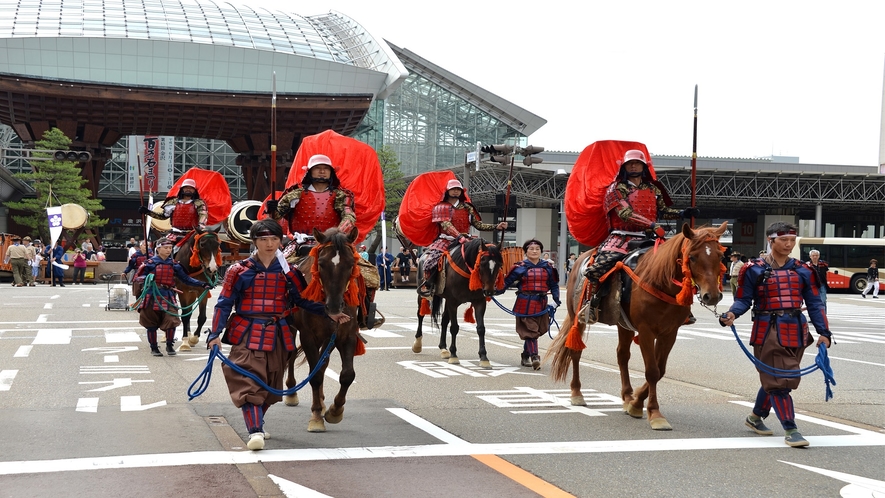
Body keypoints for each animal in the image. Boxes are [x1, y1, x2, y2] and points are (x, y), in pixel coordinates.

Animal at [286, 226, 362, 432]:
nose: (334, 307)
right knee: (291, 356)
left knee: (323, 362)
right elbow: (316, 376)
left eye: (350, 264)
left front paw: (335, 411)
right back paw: (291, 393)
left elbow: (347, 375)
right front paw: (316, 416)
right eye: (321, 264)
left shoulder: (346, 334)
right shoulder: (308, 336)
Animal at [544, 222, 724, 428]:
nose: (712, 296)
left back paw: (627, 396)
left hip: (624, 325)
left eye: (720, 256)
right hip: (577, 314)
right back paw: (577, 393)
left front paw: (636, 401)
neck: (660, 281)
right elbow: (652, 371)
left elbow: (660, 370)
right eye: (692, 257)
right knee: (576, 351)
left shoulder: (669, 332)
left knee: (622, 355)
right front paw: (653, 413)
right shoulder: (646, 330)